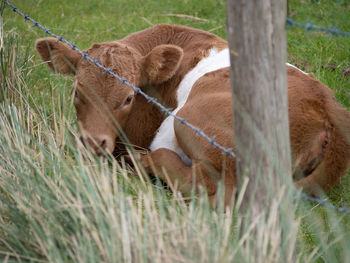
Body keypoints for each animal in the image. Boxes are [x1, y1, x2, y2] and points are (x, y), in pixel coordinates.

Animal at [36, 24, 350, 206]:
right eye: (77, 91)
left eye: (128, 98)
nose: (93, 141)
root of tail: (328, 109)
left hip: (196, 122)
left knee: (212, 188)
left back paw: (143, 163)